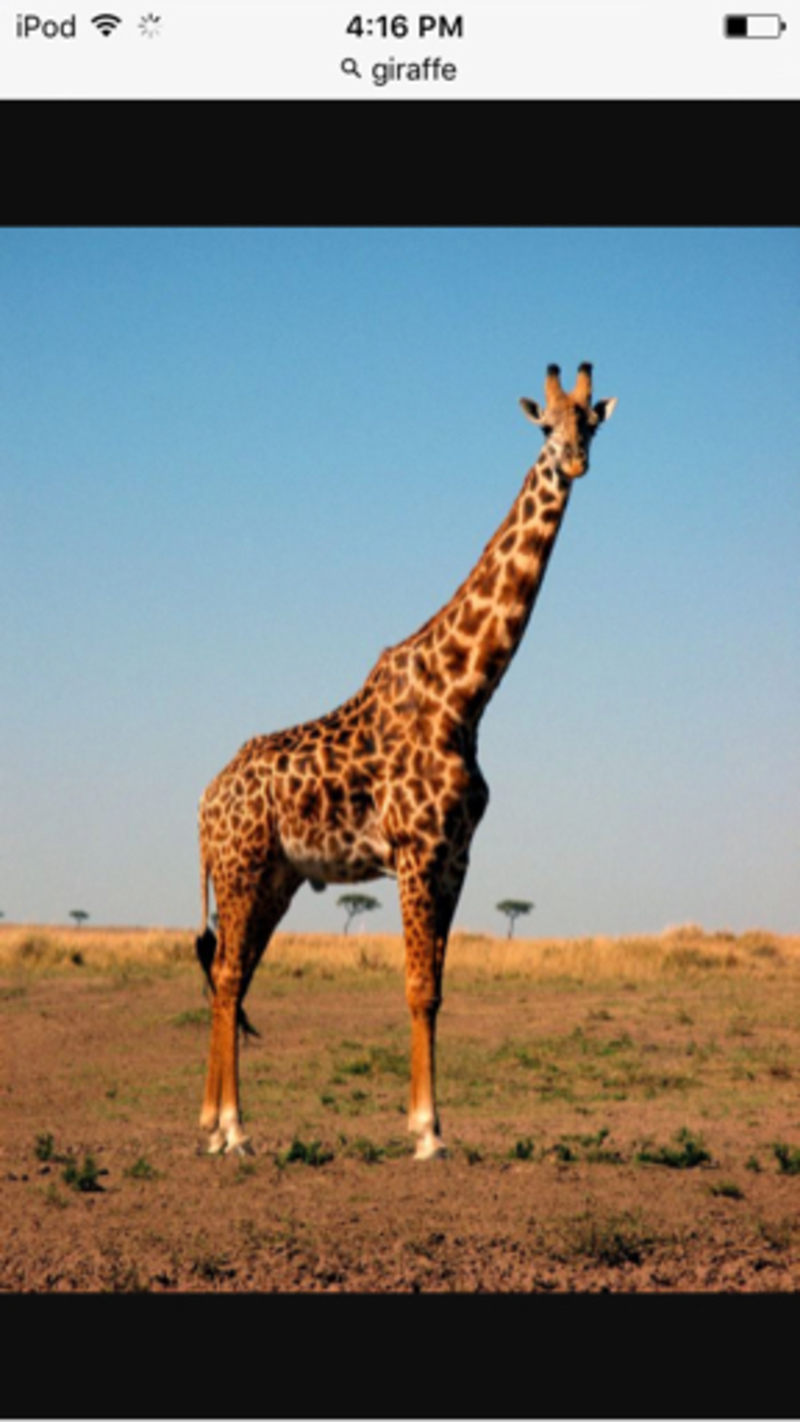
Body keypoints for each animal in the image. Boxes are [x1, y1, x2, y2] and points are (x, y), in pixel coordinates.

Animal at [195, 362, 616, 1159]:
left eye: (592, 424)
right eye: (546, 426)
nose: (574, 461)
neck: (466, 694)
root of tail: (203, 803)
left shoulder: (455, 857)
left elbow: (438, 989)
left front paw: (428, 1124)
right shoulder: (417, 851)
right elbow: (418, 988)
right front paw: (428, 1134)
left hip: (274, 879)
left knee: (234, 974)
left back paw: (209, 1123)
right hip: (239, 868)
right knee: (229, 973)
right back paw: (231, 1130)